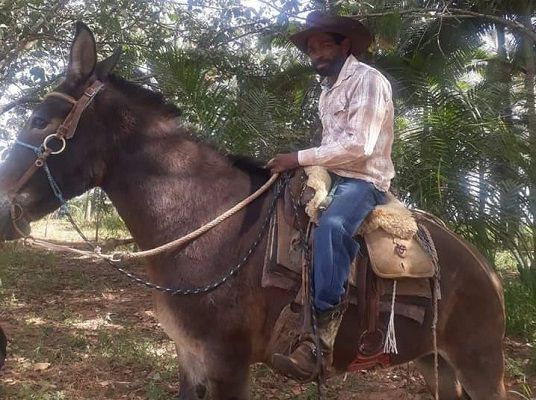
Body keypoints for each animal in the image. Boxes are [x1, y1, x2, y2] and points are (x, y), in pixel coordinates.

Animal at [0, 23, 506, 398]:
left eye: (40, 121)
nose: (3, 211)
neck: (207, 228)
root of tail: (485, 269)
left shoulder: (227, 364)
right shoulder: (190, 359)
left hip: (480, 363)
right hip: (435, 363)